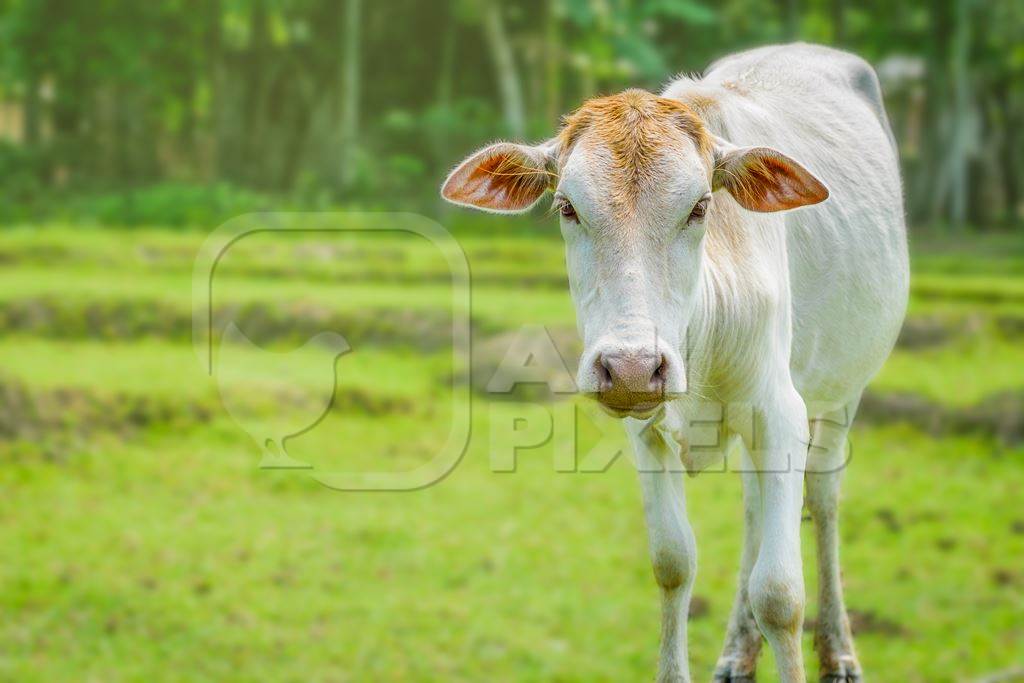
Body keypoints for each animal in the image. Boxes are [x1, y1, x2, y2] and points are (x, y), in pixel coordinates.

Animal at [444, 44, 909, 683]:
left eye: (700, 206)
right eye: (567, 207)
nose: (633, 367)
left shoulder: (780, 412)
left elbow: (780, 593)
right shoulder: (647, 430)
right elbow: (673, 562)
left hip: (844, 392)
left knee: (823, 496)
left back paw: (838, 650)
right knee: (754, 508)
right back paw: (737, 653)